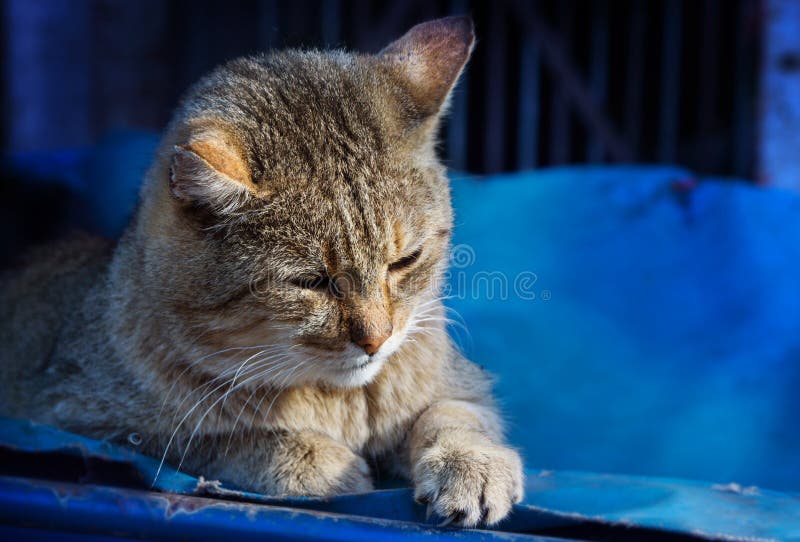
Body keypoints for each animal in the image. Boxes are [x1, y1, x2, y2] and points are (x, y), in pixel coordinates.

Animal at [0, 15, 524, 528]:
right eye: (310, 282)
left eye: (404, 261)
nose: (376, 340)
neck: (336, 398)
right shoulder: (74, 421)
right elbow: (209, 438)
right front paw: (311, 457)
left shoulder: (460, 383)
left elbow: (453, 414)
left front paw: (471, 461)